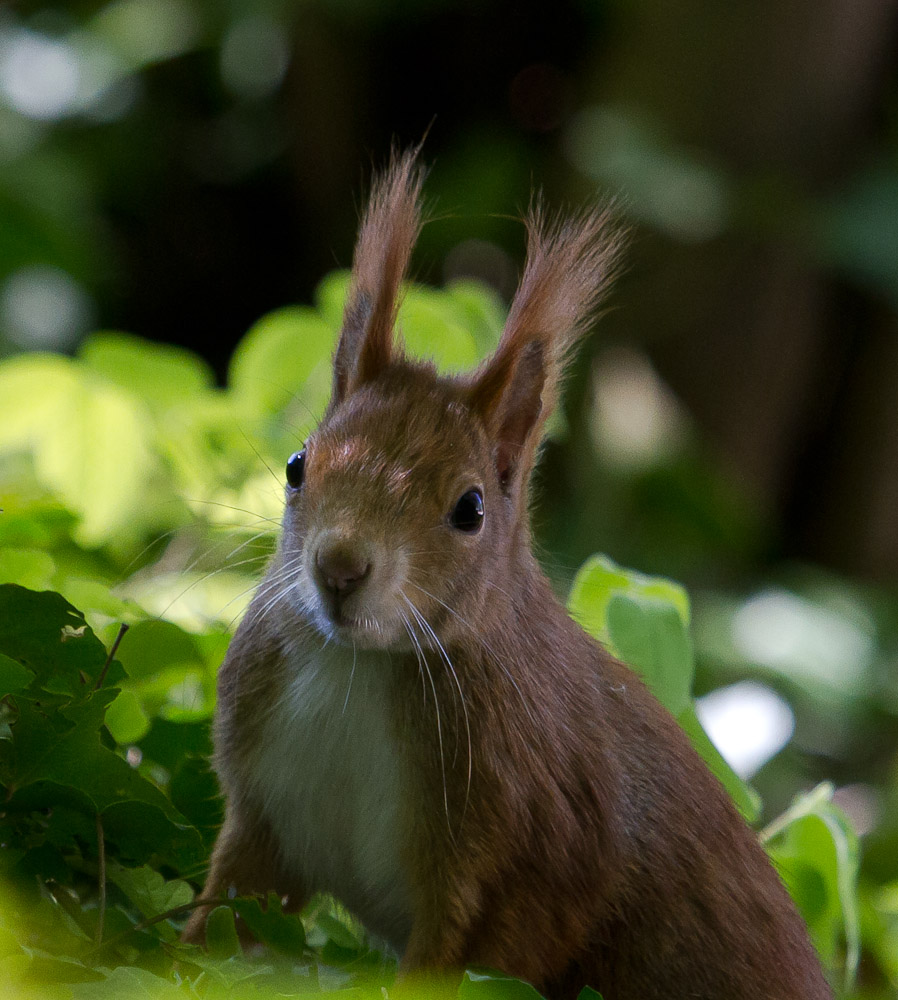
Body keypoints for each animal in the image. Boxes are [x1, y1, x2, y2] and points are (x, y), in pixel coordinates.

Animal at [182, 148, 832, 1000]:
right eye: (296, 465)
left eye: (471, 509)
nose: (340, 568)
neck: (360, 667)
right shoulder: (265, 813)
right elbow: (226, 912)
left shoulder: (524, 864)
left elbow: (474, 952)